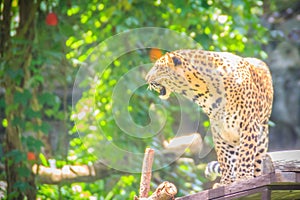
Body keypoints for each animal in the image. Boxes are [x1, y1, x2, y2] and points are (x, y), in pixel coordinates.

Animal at [145, 49, 274, 187]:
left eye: (158, 67)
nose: (146, 78)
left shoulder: (248, 124)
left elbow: (246, 152)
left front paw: (243, 178)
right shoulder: (220, 130)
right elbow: (225, 157)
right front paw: (226, 182)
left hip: (262, 137)